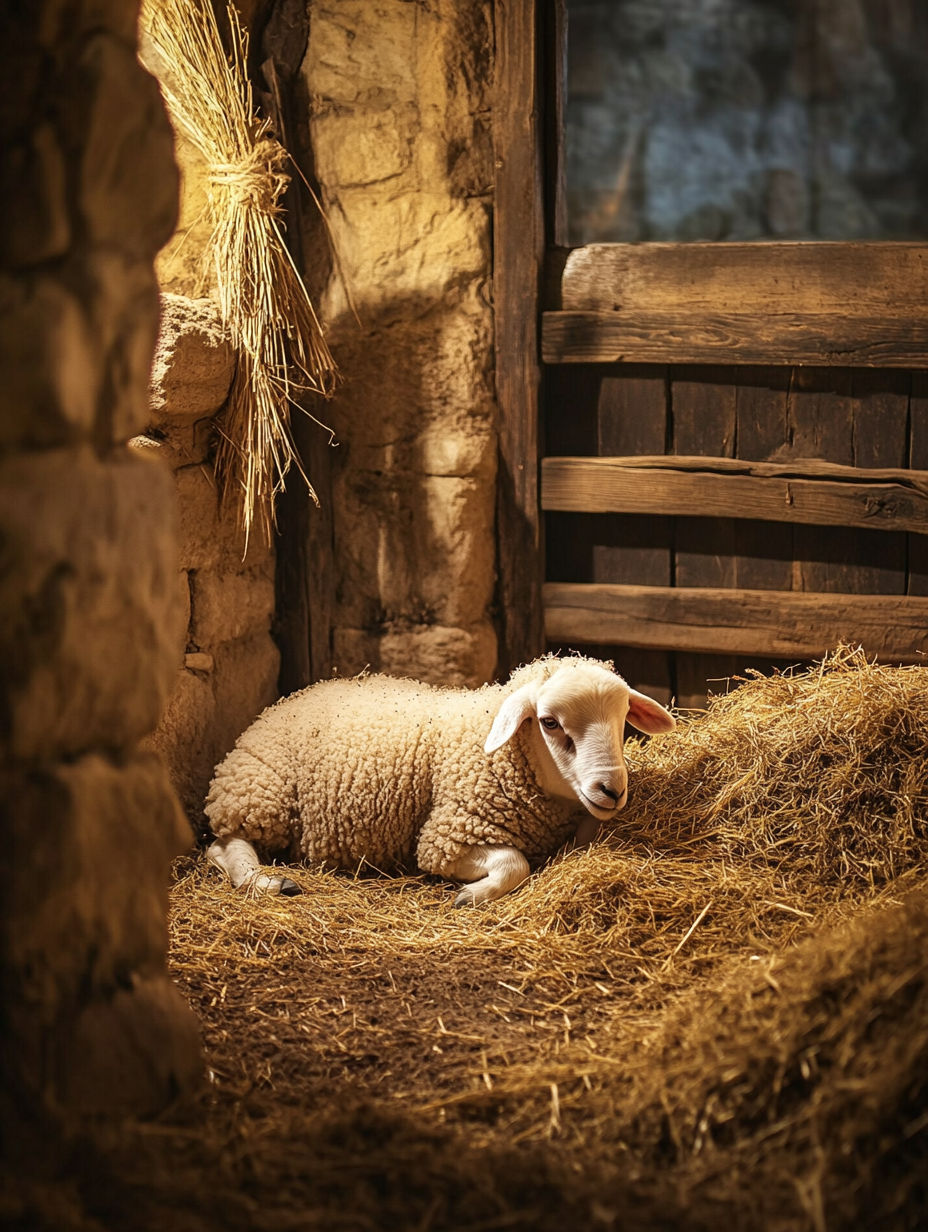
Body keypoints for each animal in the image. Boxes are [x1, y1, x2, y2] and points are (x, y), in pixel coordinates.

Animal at [204, 655, 675, 906]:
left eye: (623, 719)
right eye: (549, 723)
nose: (611, 790)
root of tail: (287, 699)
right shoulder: (446, 837)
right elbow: (515, 864)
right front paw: (471, 895)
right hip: (258, 791)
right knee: (226, 845)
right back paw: (267, 881)